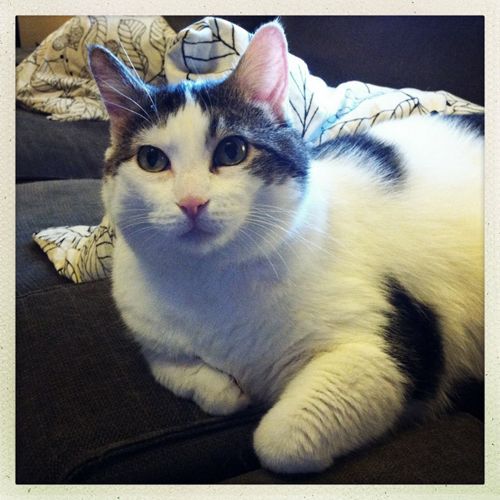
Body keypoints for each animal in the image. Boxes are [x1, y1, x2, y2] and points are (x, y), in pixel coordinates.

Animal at [88, 21, 482, 474]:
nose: (191, 202)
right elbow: (193, 381)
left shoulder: (384, 355)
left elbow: (278, 441)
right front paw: (230, 390)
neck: (211, 281)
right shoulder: (154, 342)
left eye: (232, 150)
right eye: (151, 160)